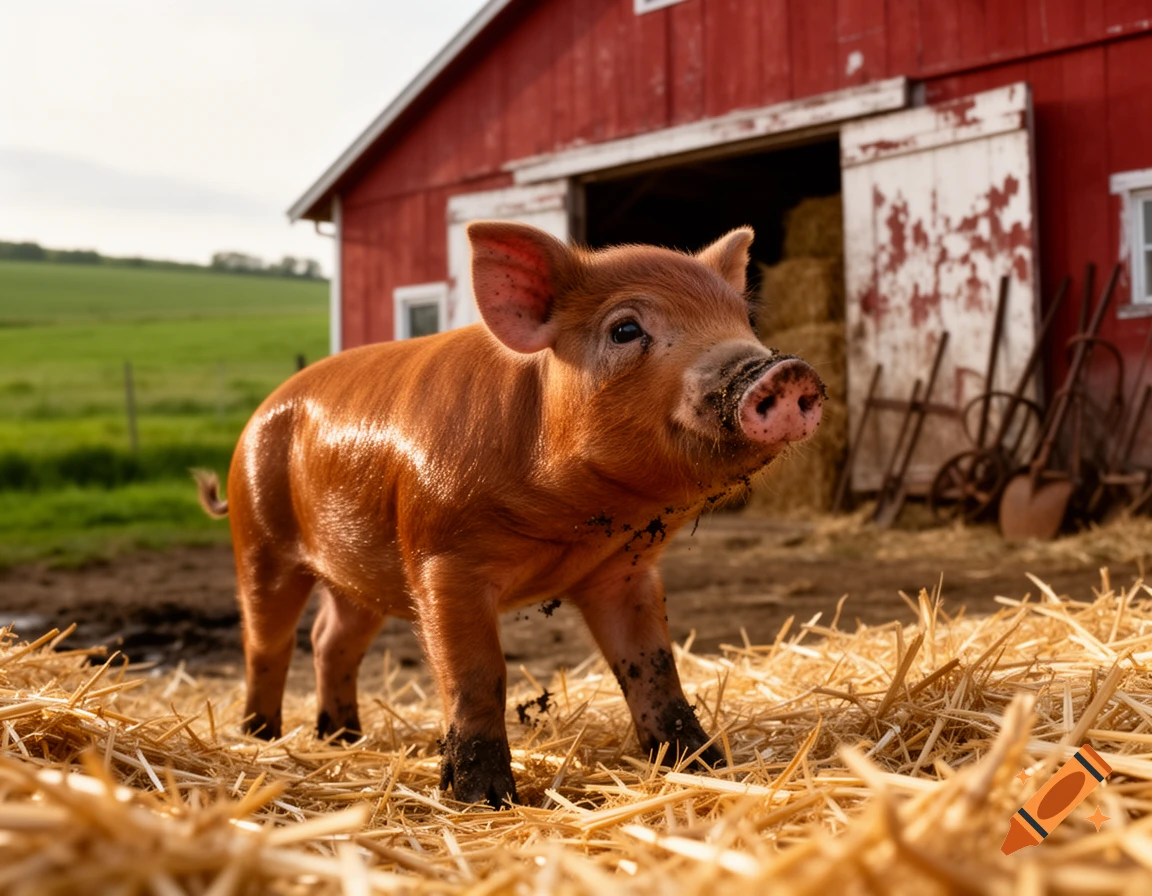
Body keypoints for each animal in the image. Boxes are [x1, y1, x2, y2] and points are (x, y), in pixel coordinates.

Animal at [195, 221, 824, 808]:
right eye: (625, 329)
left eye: (743, 320)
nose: (781, 370)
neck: (571, 517)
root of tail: (257, 418)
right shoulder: (443, 559)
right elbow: (477, 676)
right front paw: (486, 800)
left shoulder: (624, 571)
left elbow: (653, 668)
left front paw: (705, 765)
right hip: (260, 540)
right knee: (267, 641)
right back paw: (261, 736)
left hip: (356, 576)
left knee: (330, 639)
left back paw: (342, 738)